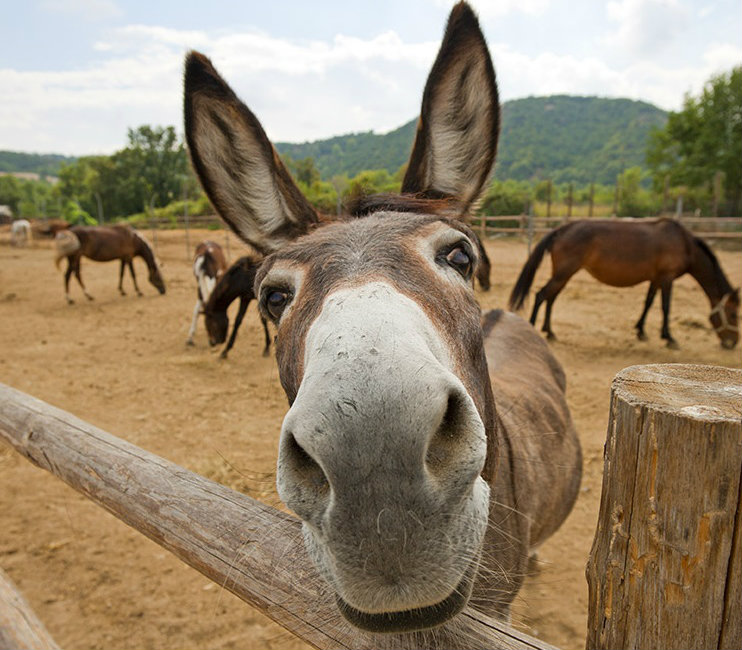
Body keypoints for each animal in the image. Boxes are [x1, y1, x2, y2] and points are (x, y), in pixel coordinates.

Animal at [508, 216, 740, 350]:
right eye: (733, 314)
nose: (732, 343)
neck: (684, 244)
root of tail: (561, 230)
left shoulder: (655, 279)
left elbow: (648, 303)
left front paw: (641, 331)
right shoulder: (667, 278)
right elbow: (665, 307)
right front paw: (669, 338)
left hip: (563, 275)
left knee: (551, 298)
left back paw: (550, 332)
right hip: (564, 273)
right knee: (541, 295)